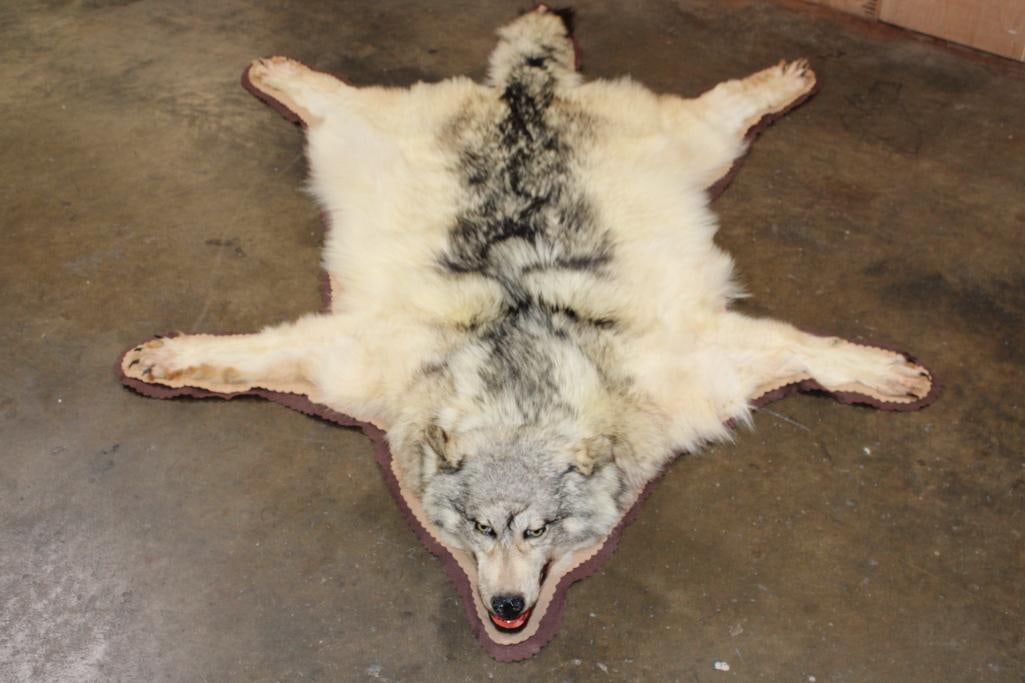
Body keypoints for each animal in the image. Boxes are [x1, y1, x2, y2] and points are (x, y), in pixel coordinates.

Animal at [124, 7, 931, 633]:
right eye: (480, 528)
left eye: (537, 529)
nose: (508, 608)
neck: (520, 381)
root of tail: (523, 92)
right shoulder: (355, 363)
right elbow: (243, 356)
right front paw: (167, 359)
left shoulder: (695, 363)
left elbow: (813, 349)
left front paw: (882, 372)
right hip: (355, 139)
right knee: (331, 96)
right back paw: (281, 73)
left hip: (693, 145)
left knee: (729, 103)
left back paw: (784, 79)